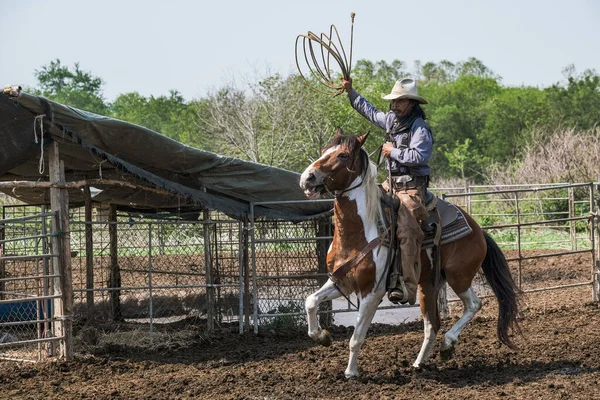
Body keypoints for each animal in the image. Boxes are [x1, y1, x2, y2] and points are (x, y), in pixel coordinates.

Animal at [300, 130, 520, 378]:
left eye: (343, 155)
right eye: (323, 152)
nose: (307, 178)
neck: (358, 233)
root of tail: (477, 229)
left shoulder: (372, 293)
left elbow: (356, 338)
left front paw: (351, 373)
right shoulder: (342, 283)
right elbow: (310, 301)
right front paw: (322, 337)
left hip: (459, 277)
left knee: (473, 304)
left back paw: (448, 345)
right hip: (429, 285)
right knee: (432, 325)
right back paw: (418, 363)